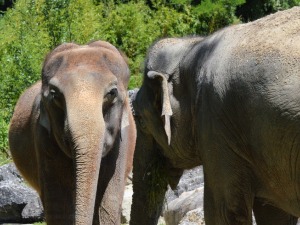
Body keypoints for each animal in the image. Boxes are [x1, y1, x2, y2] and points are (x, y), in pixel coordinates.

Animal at [8, 40, 136, 225]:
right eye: (54, 94)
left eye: (112, 93)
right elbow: (59, 204)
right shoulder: (43, 139)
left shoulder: (123, 141)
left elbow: (108, 204)